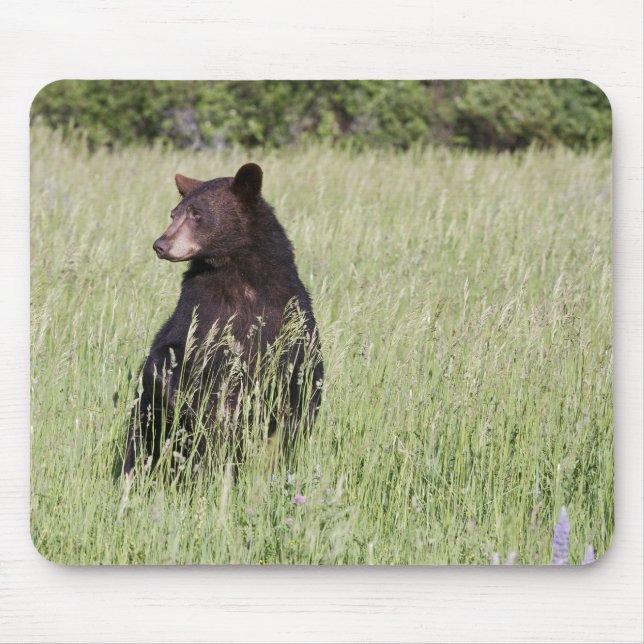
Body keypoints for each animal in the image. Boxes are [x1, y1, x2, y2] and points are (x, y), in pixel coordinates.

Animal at [123, 163, 323, 476]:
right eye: (174, 213)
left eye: (197, 214)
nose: (161, 245)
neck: (237, 273)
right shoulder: (198, 307)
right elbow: (167, 351)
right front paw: (184, 400)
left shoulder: (287, 313)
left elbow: (301, 374)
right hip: (147, 430)